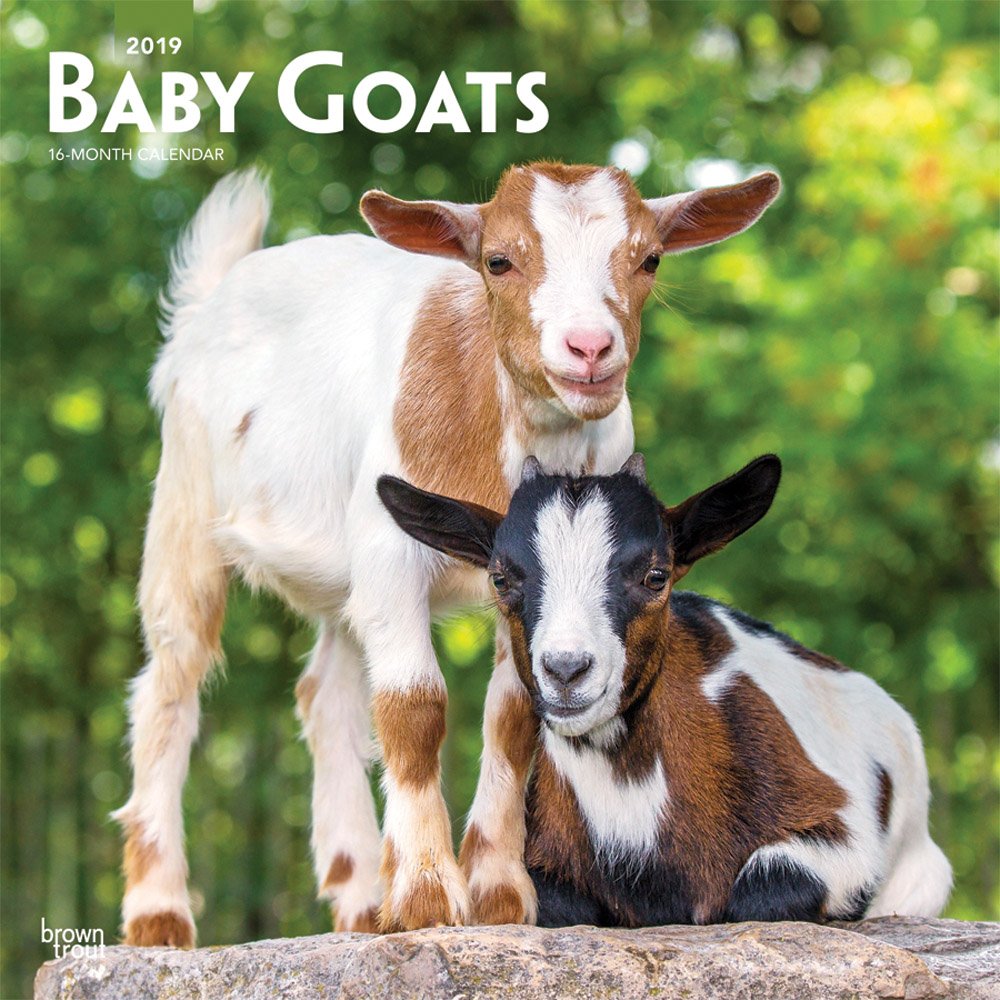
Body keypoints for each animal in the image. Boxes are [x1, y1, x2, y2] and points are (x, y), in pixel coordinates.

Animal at [114, 162, 780, 945]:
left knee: (326, 696)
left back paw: (359, 901)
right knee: (171, 679)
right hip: (184, 496)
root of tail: (208, 300)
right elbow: (414, 706)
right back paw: (159, 912)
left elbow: (515, 714)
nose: (589, 349)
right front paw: (429, 896)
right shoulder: (394, 550)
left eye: (649, 259)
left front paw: (498, 895)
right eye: (498, 261)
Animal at [378, 454, 953, 926]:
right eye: (501, 579)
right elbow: (562, 903)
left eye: (656, 576)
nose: (566, 670)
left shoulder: (843, 835)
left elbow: (760, 889)